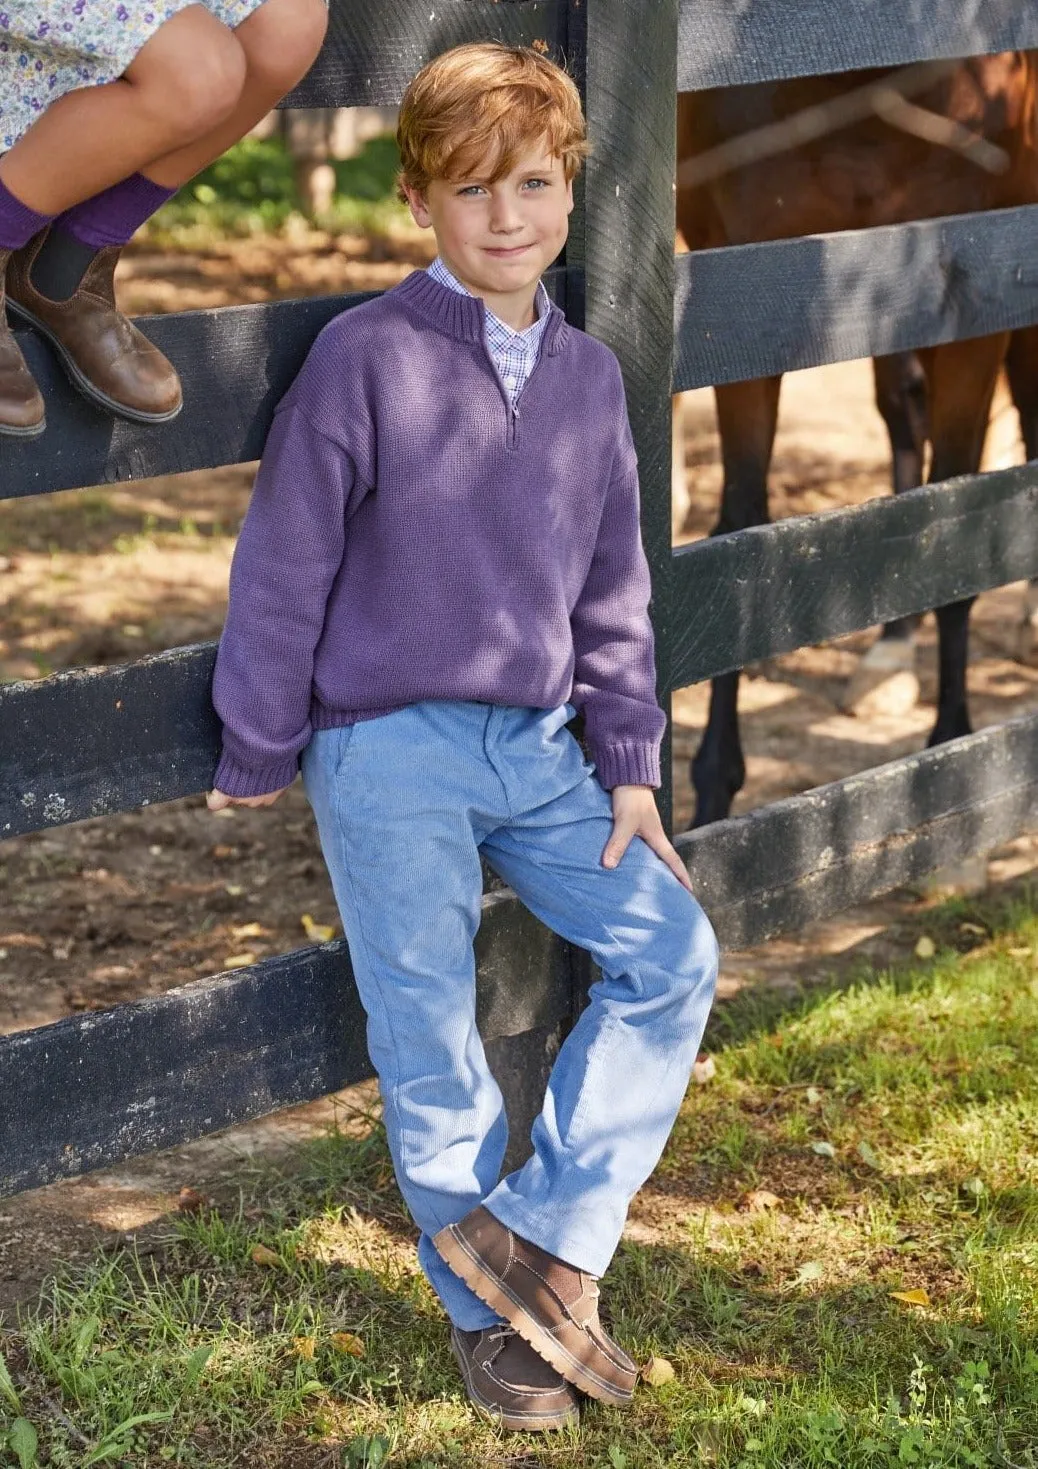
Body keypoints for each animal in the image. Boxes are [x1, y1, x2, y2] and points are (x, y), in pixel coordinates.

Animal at [675, 54, 1038, 828]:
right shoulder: (742, 306)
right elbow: (738, 533)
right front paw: (713, 793)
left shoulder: (976, 310)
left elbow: (957, 534)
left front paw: (951, 761)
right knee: (904, 419)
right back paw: (890, 652)